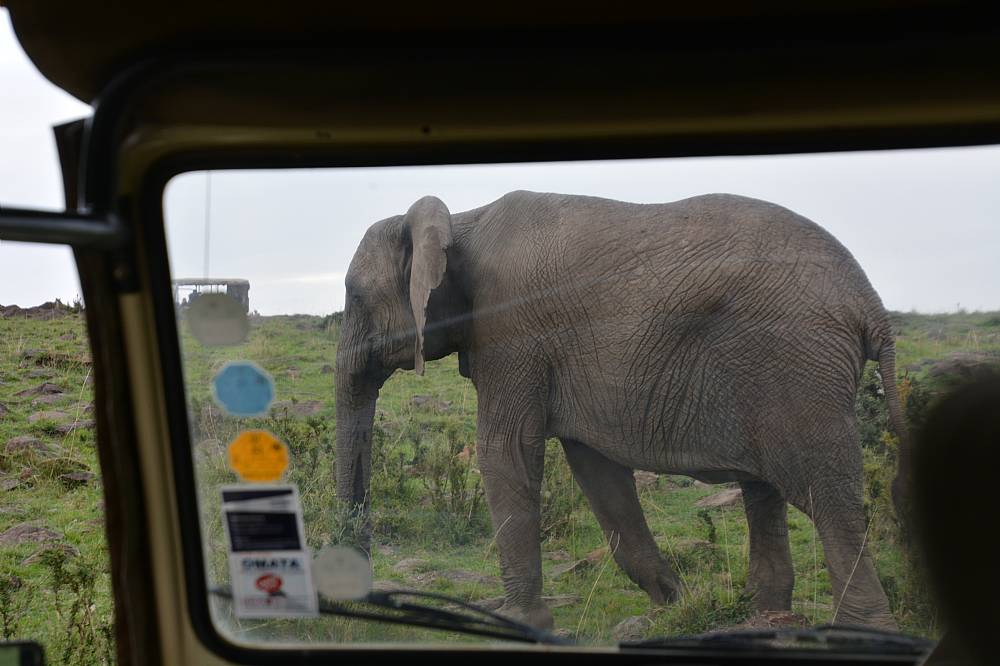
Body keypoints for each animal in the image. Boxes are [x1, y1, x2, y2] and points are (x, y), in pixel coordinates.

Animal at [334, 191, 908, 628]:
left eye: (355, 296)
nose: (360, 593)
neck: (460, 221)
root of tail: (871, 305)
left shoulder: (512, 330)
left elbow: (506, 452)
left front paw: (516, 619)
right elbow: (596, 469)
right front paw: (674, 604)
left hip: (798, 369)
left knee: (828, 500)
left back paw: (861, 631)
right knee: (763, 490)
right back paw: (761, 619)